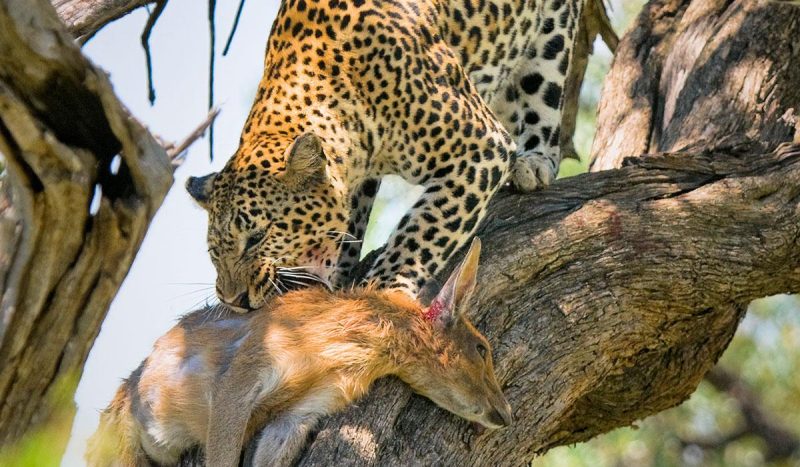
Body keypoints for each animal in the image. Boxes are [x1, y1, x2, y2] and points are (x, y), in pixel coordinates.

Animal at [187, 0, 584, 312]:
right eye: (214, 252)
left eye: (257, 237)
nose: (233, 300)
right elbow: (351, 224)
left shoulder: (480, 147)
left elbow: (424, 228)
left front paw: (384, 287)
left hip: (551, 36)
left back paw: (533, 161)